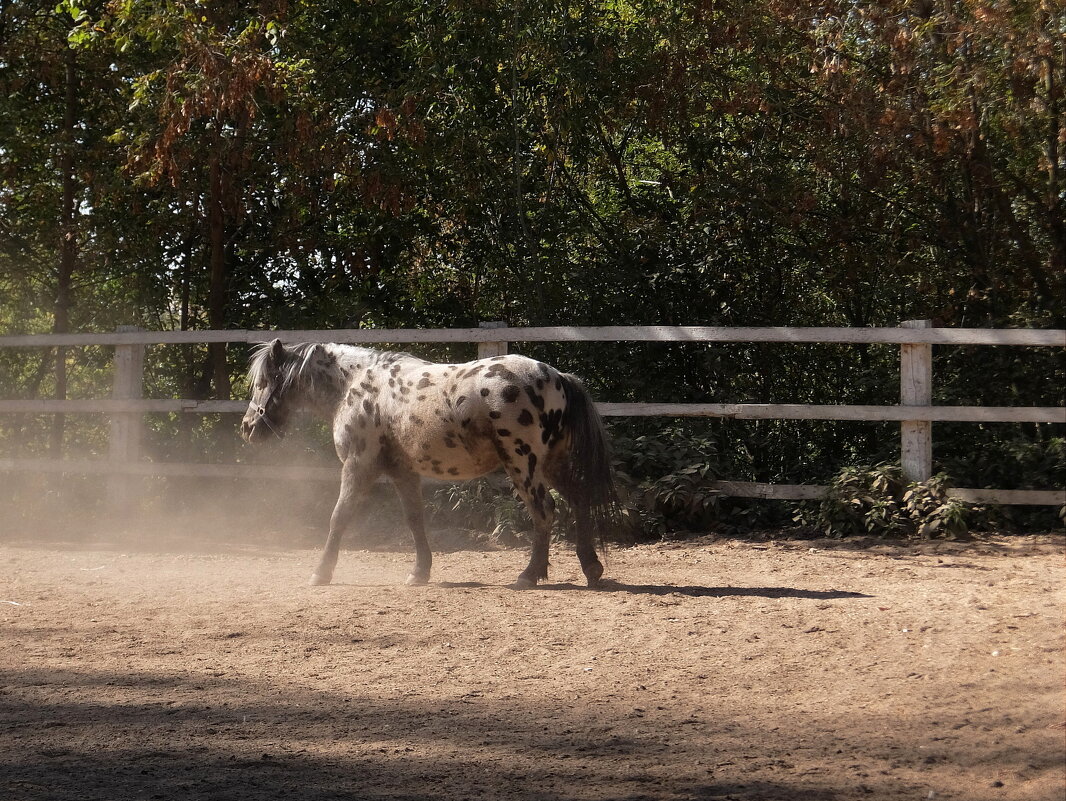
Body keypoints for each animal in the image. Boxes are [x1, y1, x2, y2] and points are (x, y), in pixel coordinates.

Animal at [239, 339, 622, 588]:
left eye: (264, 382)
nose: (247, 428)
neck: (357, 385)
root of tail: (558, 377)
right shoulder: (402, 472)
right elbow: (414, 520)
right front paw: (419, 572)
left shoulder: (358, 466)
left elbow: (339, 518)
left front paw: (321, 573)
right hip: (552, 464)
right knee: (579, 500)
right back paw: (591, 567)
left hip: (523, 465)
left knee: (544, 511)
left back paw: (529, 575)